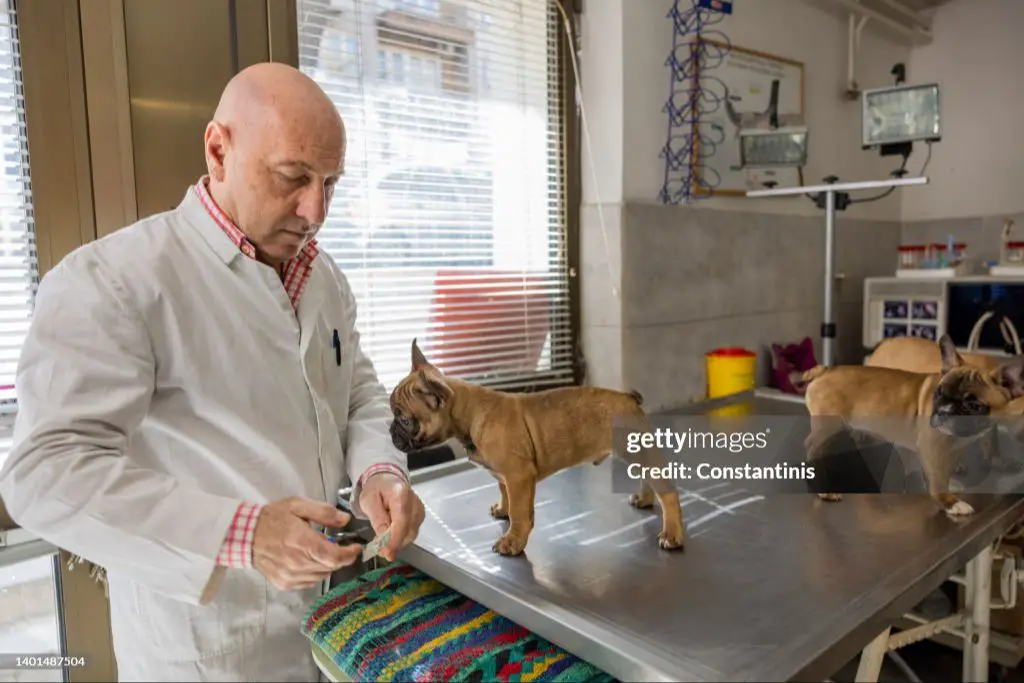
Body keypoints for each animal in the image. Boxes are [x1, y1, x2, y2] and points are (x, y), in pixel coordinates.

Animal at [385, 339, 688, 557]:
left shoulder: (519, 476)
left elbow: (520, 513)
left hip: (638, 451)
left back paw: (672, 534)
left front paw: (512, 541)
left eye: (404, 419)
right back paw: (645, 500)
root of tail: (628, 398)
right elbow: (504, 493)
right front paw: (502, 509)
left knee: (668, 492)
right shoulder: (505, 476)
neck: (470, 414)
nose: (390, 430)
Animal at [798, 335, 1024, 518]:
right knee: (812, 448)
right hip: (828, 427)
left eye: (975, 406)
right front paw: (949, 502)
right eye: (939, 393)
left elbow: (946, 467)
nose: (945, 410)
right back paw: (823, 488)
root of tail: (824, 371)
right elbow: (938, 479)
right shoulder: (932, 445)